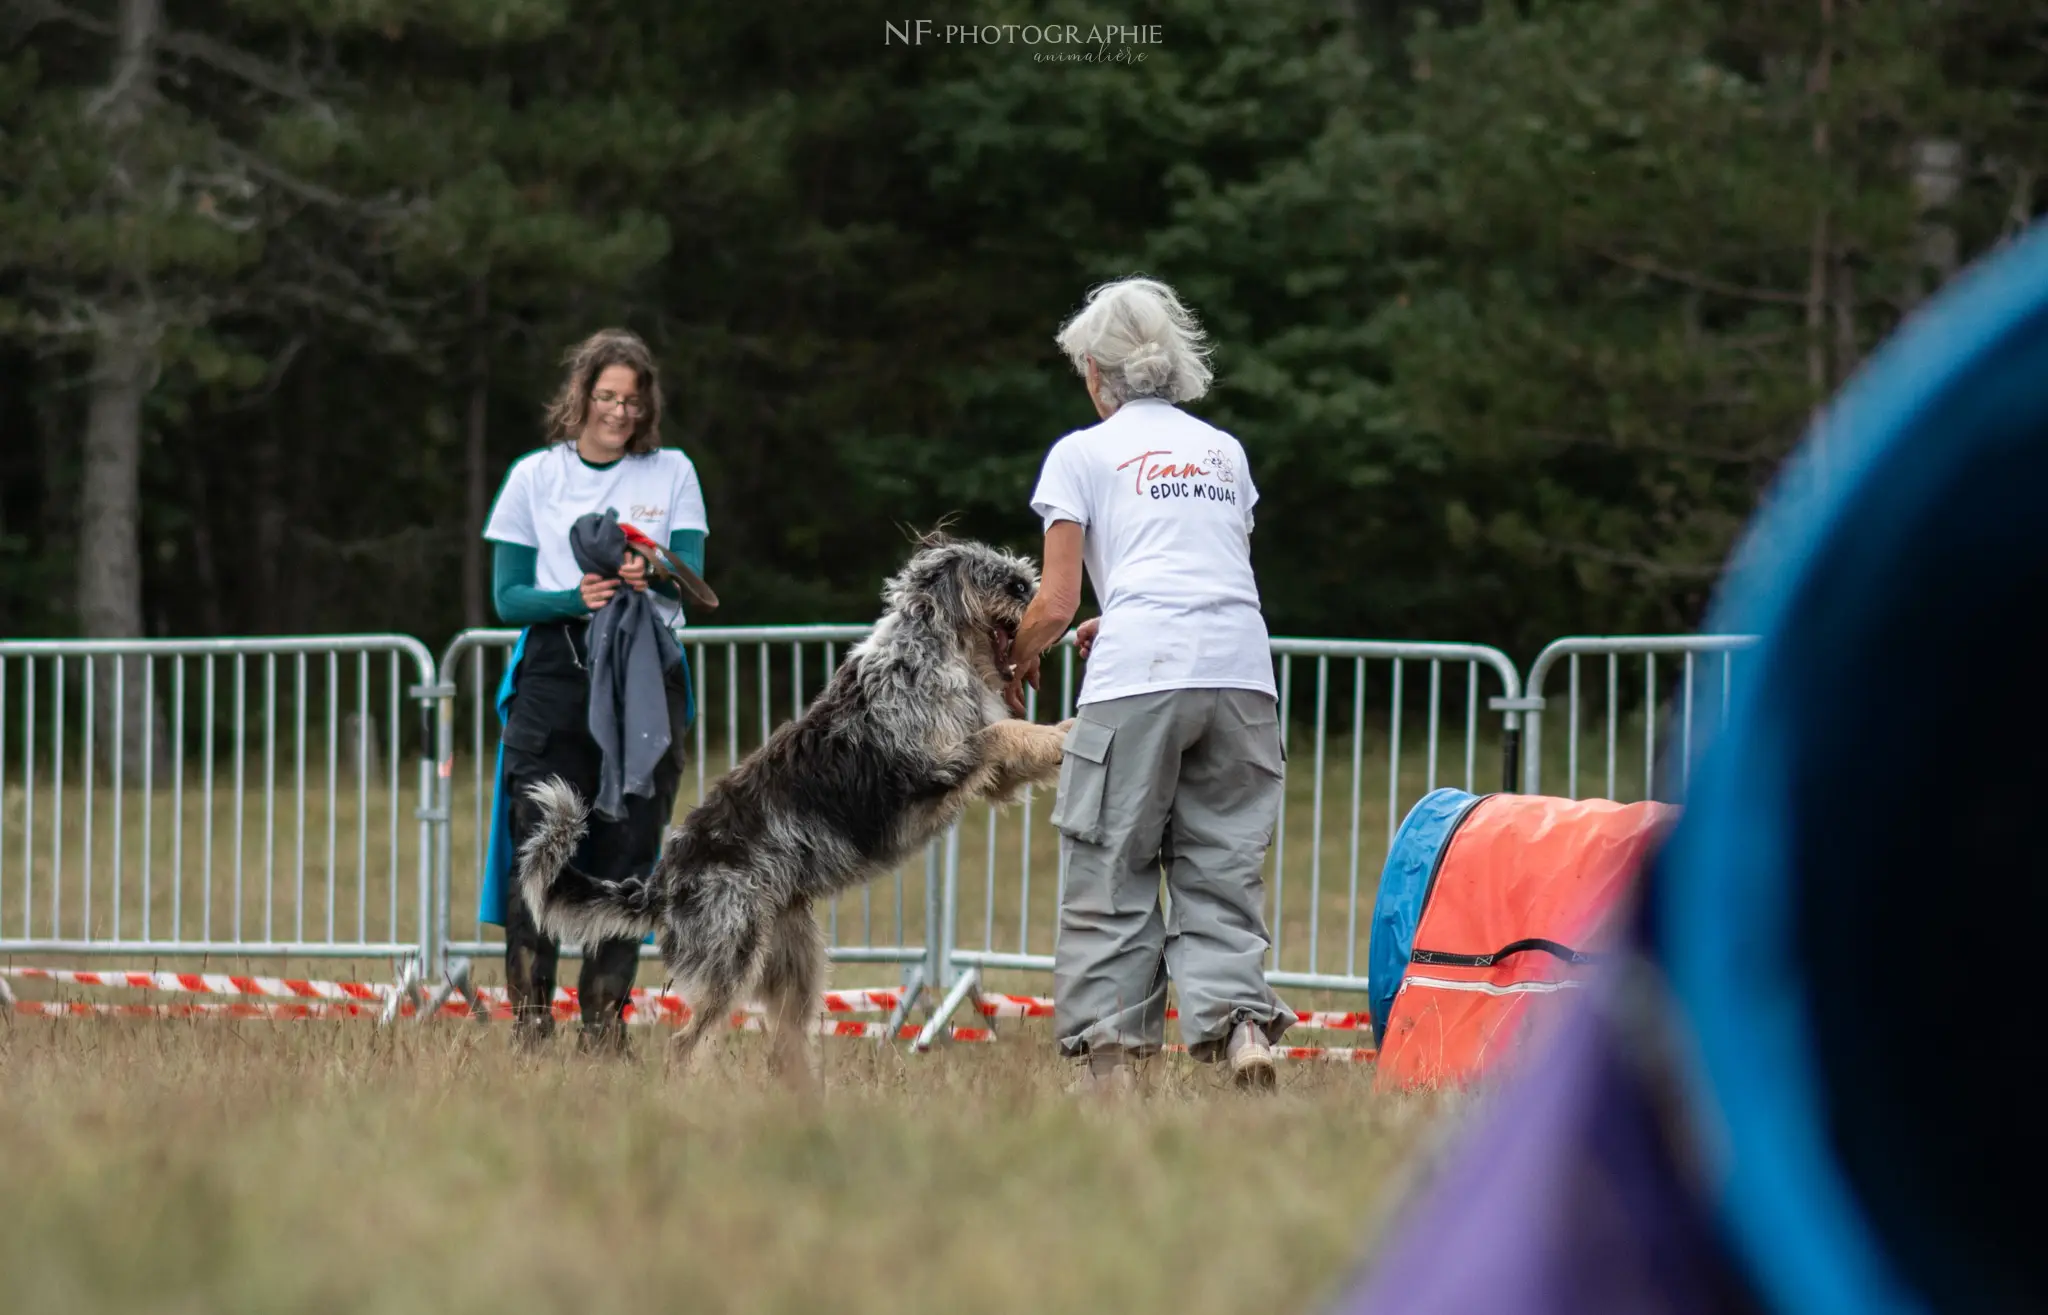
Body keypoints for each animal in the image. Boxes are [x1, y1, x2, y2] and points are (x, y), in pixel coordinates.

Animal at [516, 536, 1073, 1089]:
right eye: (1014, 585)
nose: (1052, 610)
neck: (935, 652)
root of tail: (660, 882)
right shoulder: (935, 767)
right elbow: (1004, 733)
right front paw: (1066, 735)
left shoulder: (992, 778)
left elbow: (1021, 740)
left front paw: (1070, 732)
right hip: (731, 958)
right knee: (686, 1045)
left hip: (794, 965)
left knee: (784, 1046)